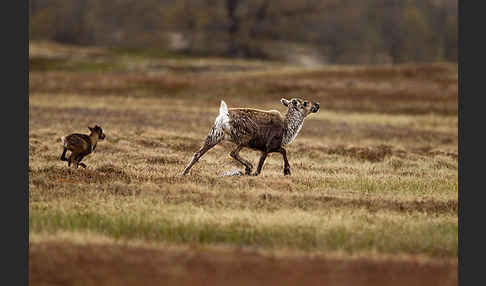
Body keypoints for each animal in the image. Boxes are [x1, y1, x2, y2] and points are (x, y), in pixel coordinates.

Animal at [182, 98, 318, 177]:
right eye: (305, 103)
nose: (317, 104)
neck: (288, 128)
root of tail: (223, 115)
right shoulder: (269, 146)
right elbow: (277, 154)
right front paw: (286, 171)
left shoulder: (267, 147)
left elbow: (282, 152)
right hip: (245, 138)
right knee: (233, 153)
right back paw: (248, 167)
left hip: (214, 135)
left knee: (197, 153)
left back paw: (184, 173)